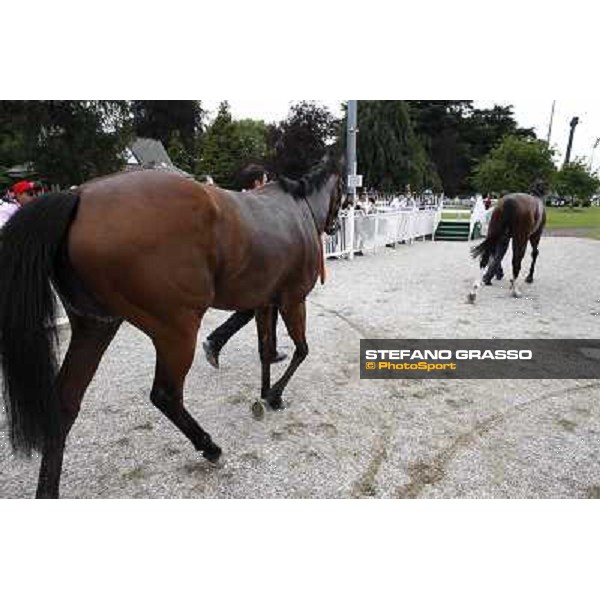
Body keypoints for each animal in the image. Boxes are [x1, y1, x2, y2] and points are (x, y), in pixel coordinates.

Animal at [0, 158, 342, 496]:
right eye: (341, 191)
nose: (335, 225)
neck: (297, 209)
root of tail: (79, 195)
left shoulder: (265, 302)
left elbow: (264, 349)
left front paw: (264, 392)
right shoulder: (293, 299)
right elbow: (301, 350)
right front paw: (274, 396)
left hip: (96, 326)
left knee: (65, 403)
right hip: (176, 329)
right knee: (165, 394)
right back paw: (210, 447)